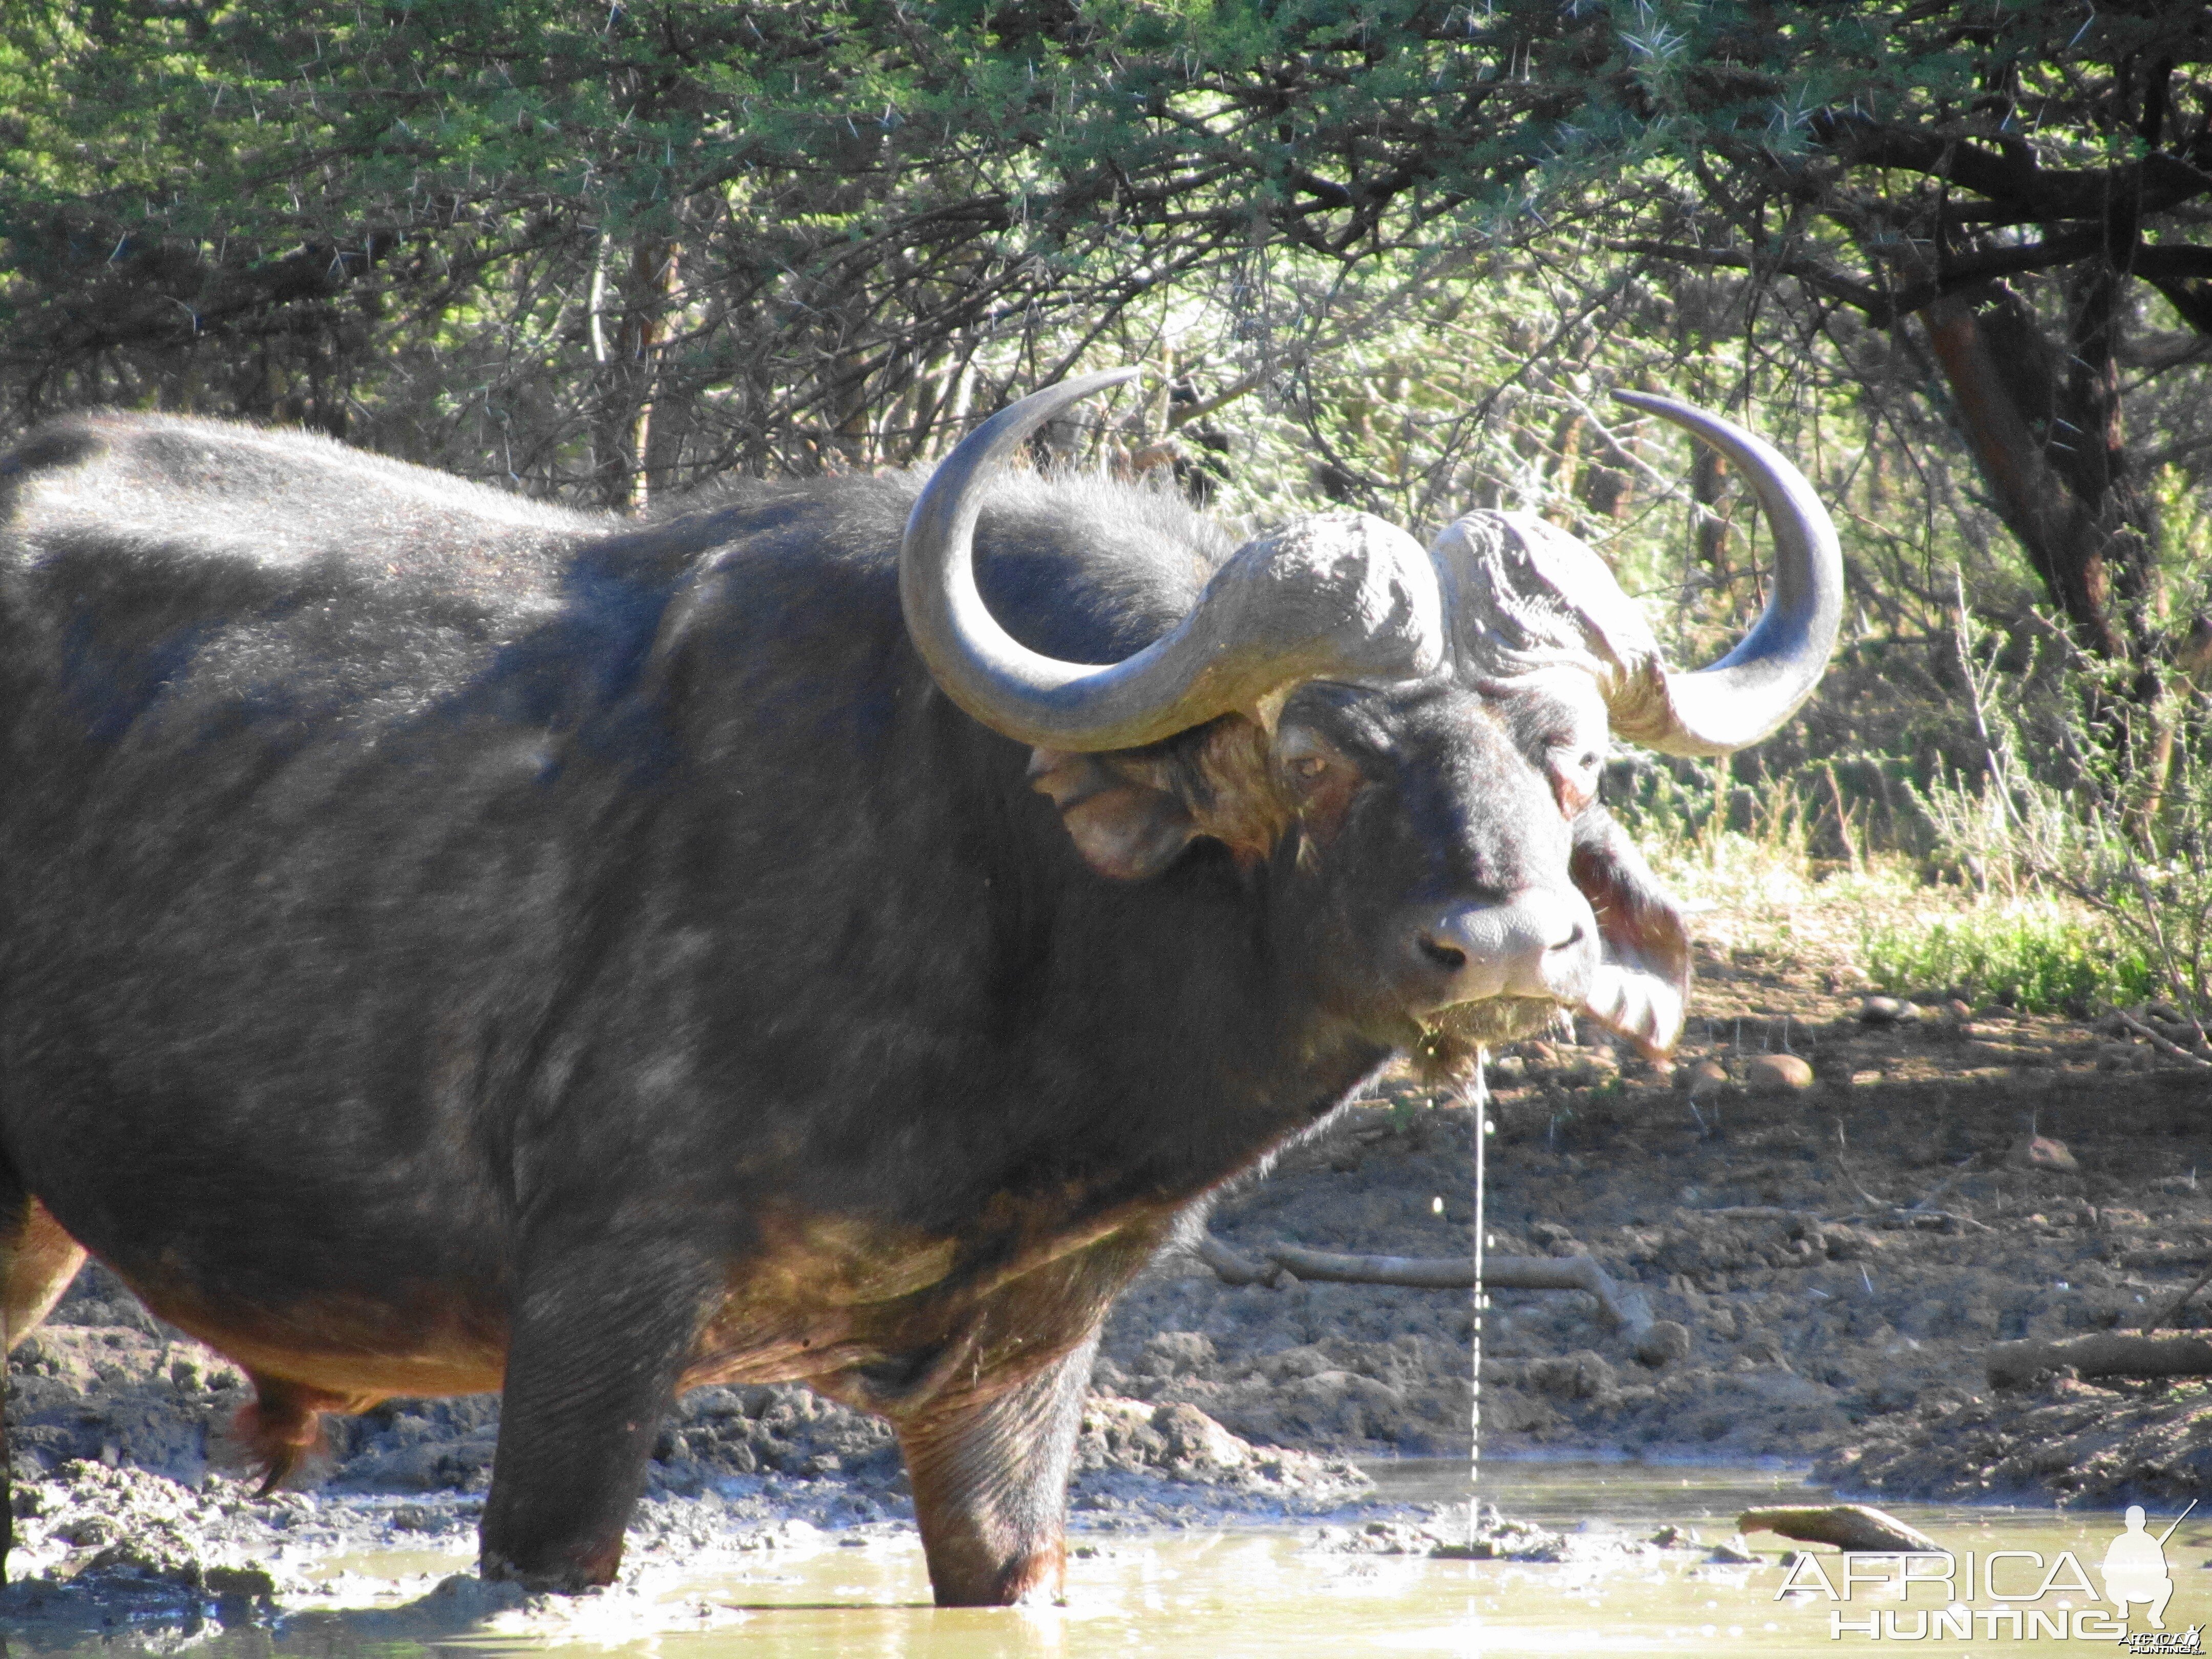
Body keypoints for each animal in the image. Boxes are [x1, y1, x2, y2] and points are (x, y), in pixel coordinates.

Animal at [0, 369, 1840, 1601]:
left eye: (1576, 757)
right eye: (1319, 756)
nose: (1512, 948)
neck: (1012, 898)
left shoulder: (1020, 1365)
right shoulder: (597, 1298)